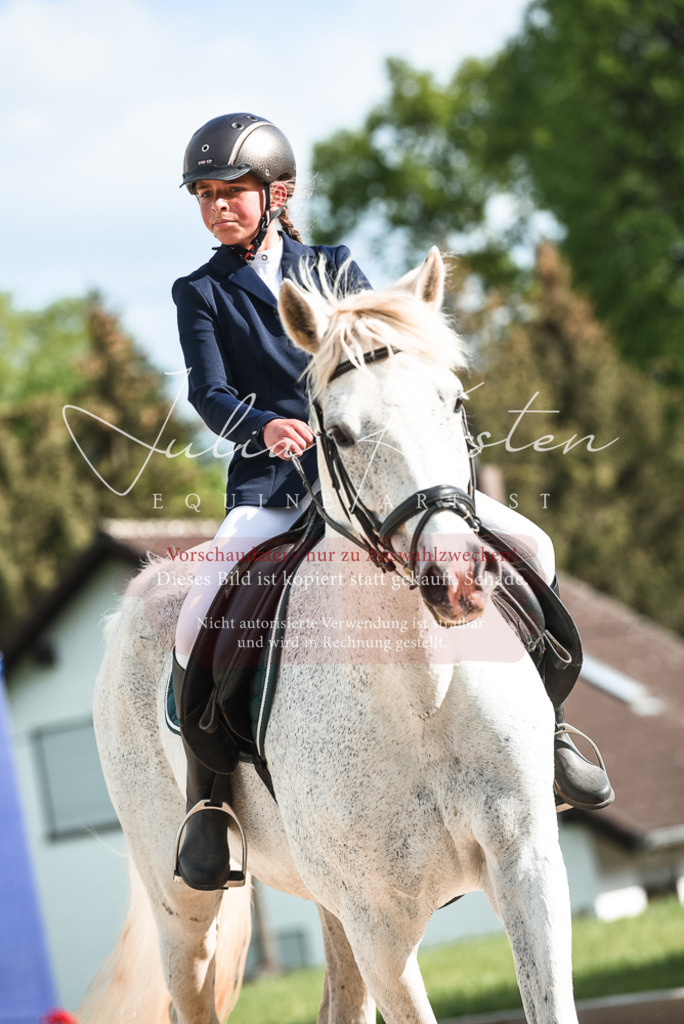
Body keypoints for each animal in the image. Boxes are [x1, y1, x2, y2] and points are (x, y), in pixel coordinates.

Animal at [83, 248, 578, 1024]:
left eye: (453, 402)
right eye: (338, 434)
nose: (459, 579)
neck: (423, 690)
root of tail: (133, 600)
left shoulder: (527, 865)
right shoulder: (378, 918)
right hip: (185, 908)